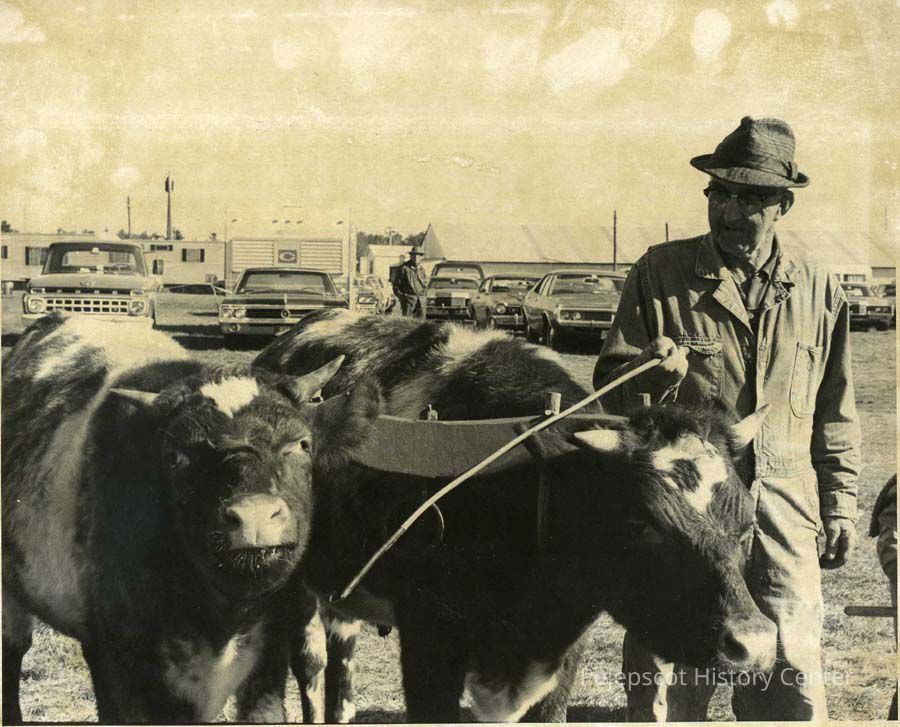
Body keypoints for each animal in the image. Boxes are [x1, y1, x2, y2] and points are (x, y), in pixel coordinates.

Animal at [1, 313, 378, 724]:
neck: (222, 614)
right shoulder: (119, 660)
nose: (255, 515)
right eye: (175, 456)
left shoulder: (271, 652)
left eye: (302, 444)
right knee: (12, 648)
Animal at [252, 309, 778, 722]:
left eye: (746, 527)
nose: (753, 645)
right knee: (309, 668)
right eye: (642, 524)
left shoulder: (562, 654)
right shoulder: (429, 643)